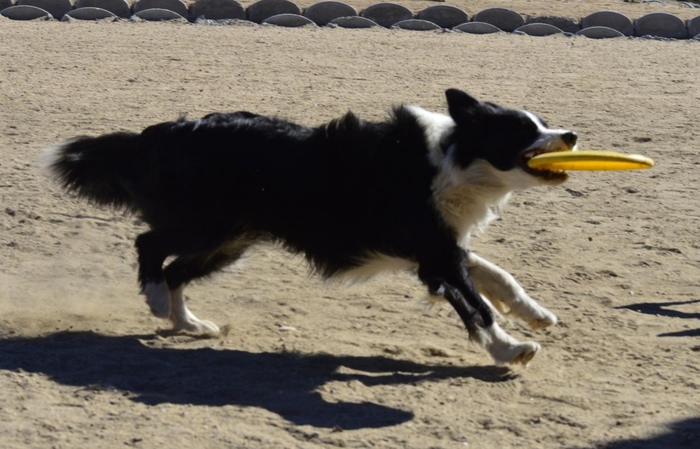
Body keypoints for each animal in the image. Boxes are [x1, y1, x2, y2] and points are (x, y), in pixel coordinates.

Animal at [46, 90, 576, 364]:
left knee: (176, 270)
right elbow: (476, 305)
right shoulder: (435, 254)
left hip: (230, 240)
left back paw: (189, 323)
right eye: (521, 129)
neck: (453, 160)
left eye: (543, 121)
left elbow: (496, 275)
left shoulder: (438, 247)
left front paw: (534, 313)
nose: (571, 135)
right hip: (205, 226)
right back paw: (157, 301)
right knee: (149, 244)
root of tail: (160, 132)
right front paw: (510, 348)